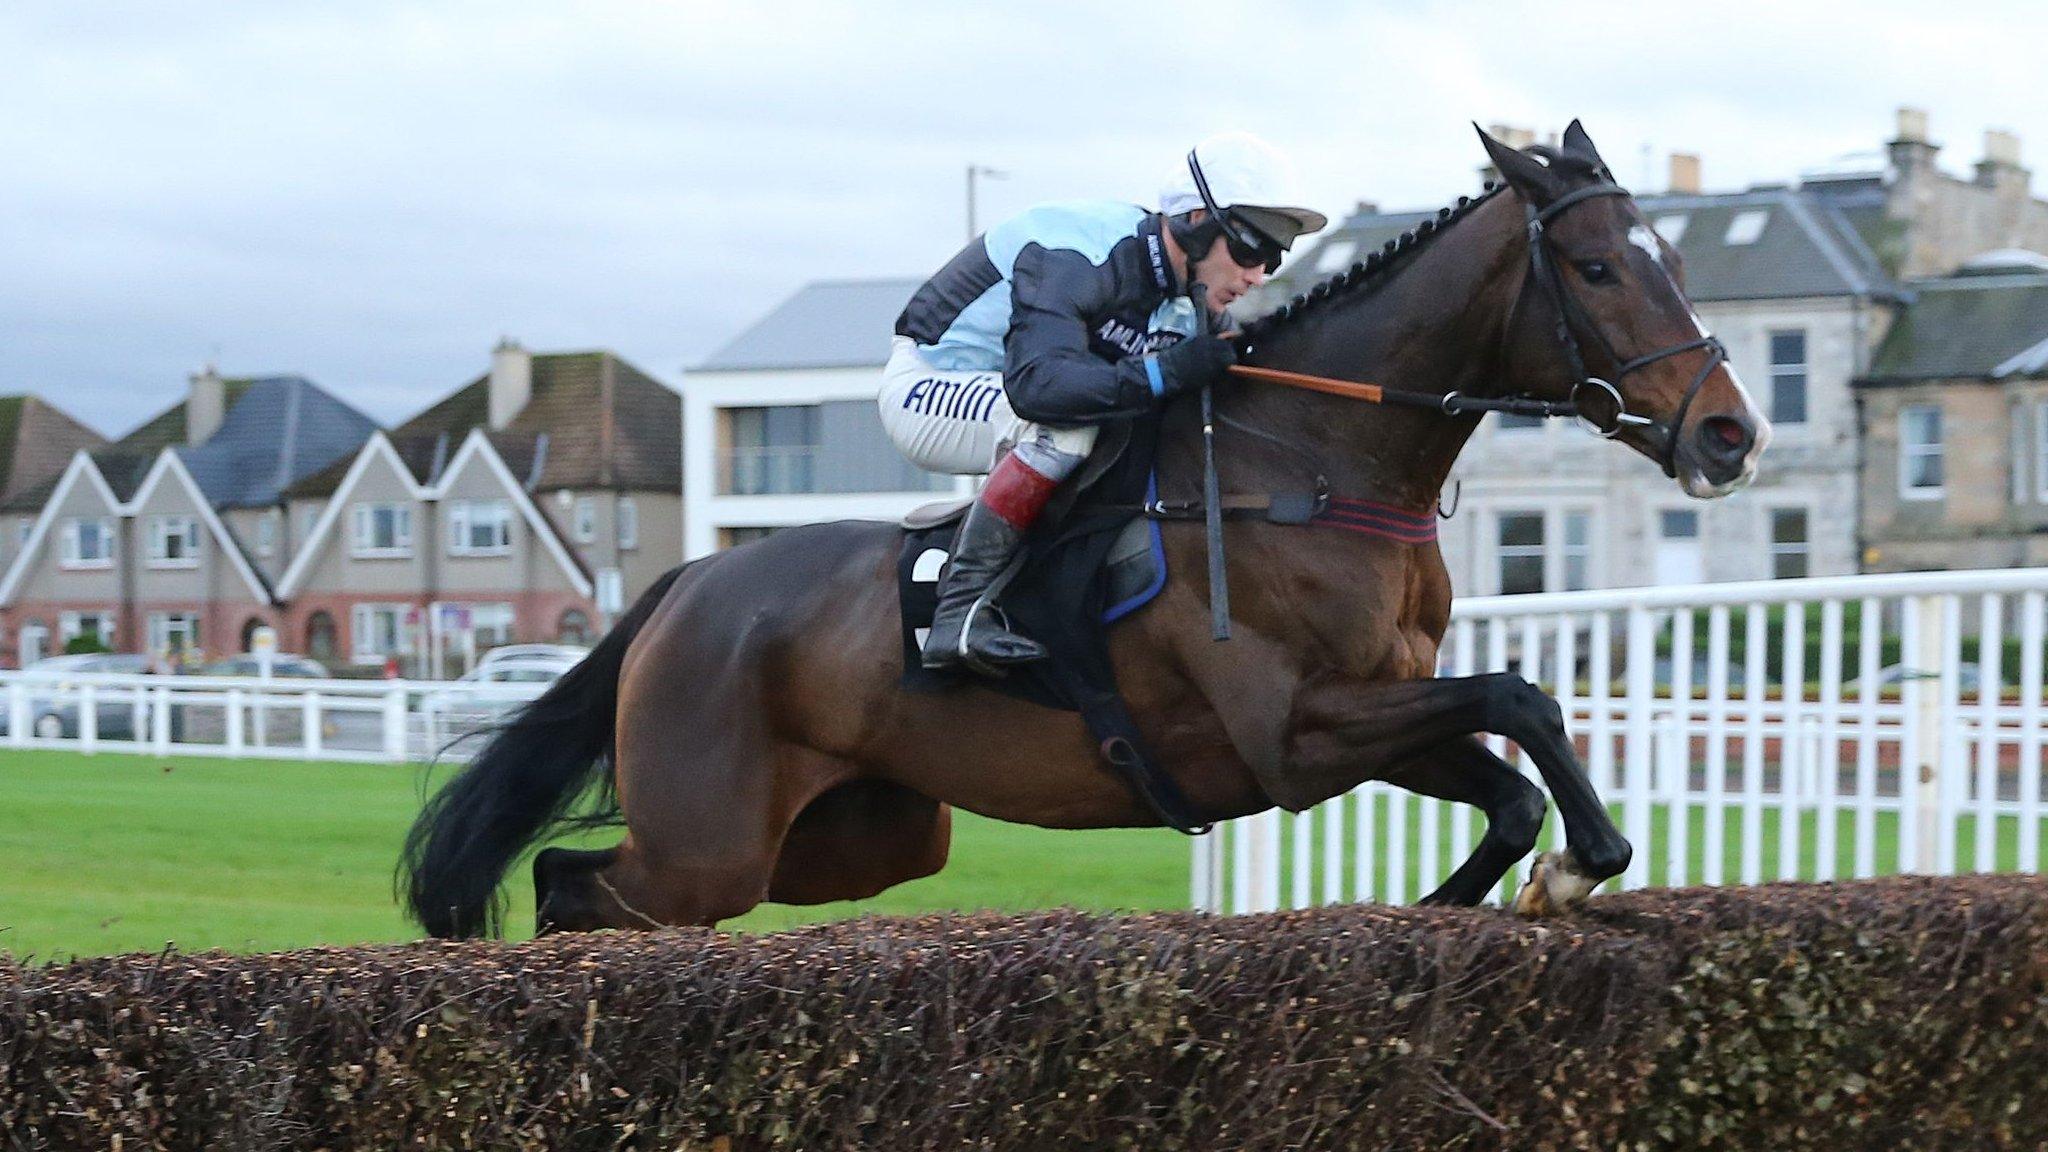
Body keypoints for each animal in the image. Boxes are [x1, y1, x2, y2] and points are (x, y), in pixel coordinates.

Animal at [399, 123, 1761, 934]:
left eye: (1673, 262)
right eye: (1597, 268)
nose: (1727, 434)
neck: (1317, 464)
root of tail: (683, 588)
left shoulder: (1369, 717)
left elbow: (1507, 784)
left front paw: (1491, 886)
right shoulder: (1292, 732)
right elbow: (1519, 700)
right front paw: (1582, 859)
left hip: (857, 838)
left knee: (590, 883)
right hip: (711, 839)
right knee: (571, 882)